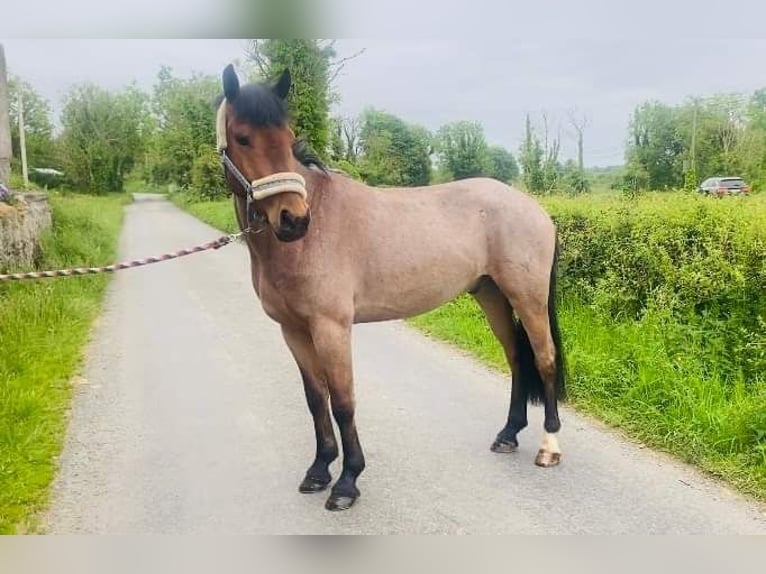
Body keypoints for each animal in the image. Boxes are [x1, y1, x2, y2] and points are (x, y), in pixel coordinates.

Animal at [214, 65, 564, 516]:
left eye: (288, 138)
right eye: (243, 137)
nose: (293, 219)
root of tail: (534, 208)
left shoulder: (331, 328)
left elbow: (343, 401)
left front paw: (347, 482)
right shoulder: (293, 330)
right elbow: (315, 399)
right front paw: (319, 470)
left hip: (528, 297)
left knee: (545, 359)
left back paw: (549, 446)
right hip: (491, 296)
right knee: (518, 359)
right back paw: (508, 435)